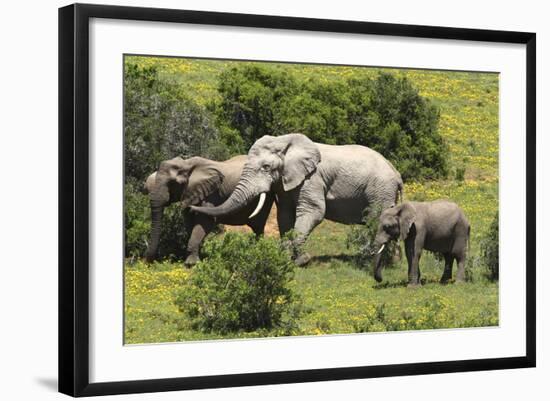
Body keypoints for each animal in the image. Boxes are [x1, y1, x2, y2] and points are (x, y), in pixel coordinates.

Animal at [192, 132, 404, 266]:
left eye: (266, 167)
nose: (192, 207)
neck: (285, 143)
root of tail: (396, 173)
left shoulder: (312, 179)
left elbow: (313, 212)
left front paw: (302, 261)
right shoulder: (285, 182)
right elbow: (285, 215)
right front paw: (285, 258)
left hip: (380, 190)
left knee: (377, 220)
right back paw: (394, 261)